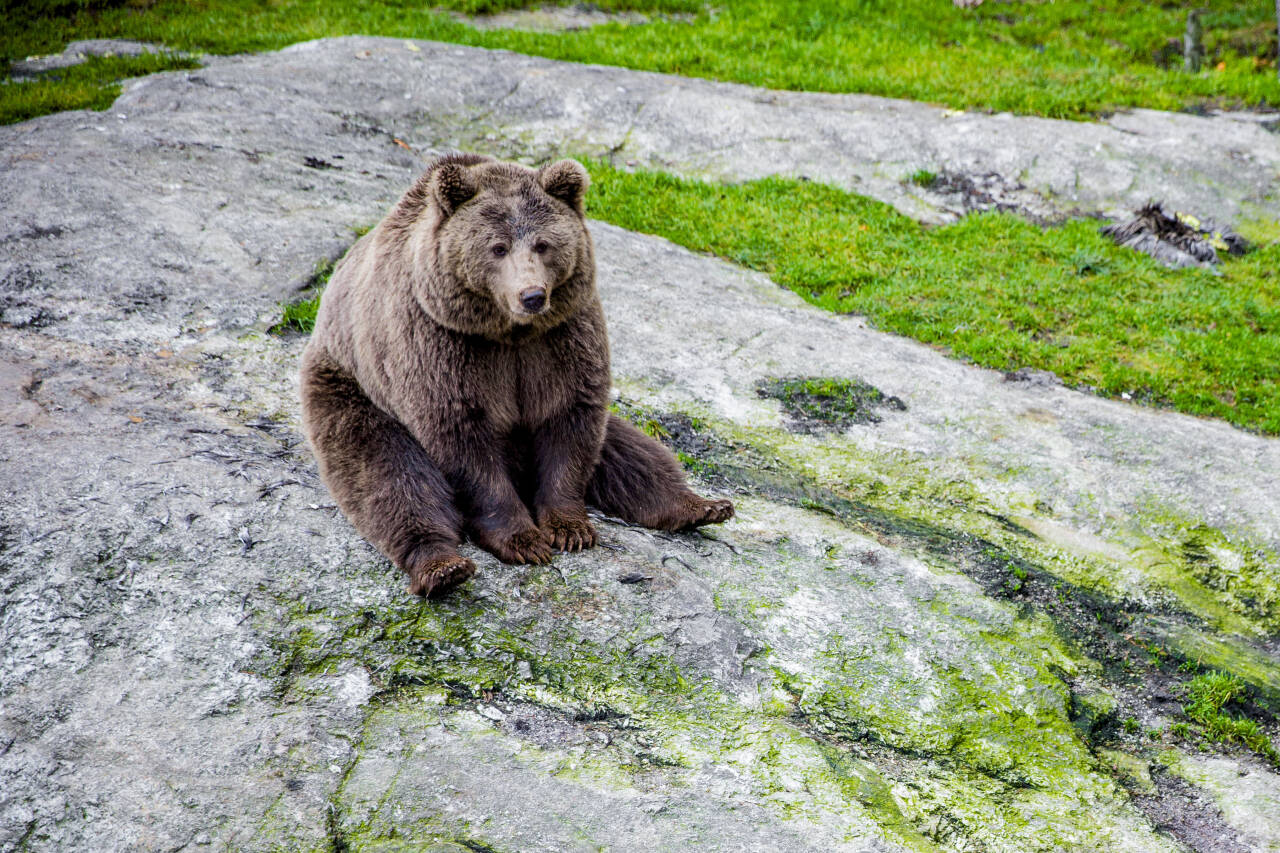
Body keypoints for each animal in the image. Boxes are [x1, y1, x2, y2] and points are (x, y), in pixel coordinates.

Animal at [299, 153, 737, 594]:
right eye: (497, 247)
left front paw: (569, 528)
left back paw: (701, 506)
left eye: (543, 244)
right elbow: (464, 443)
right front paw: (523, 540)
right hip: (351, 389)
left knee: (634, 453)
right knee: (390, 479)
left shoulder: (560, 339)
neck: (508, 333)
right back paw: (442, 566)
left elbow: (571, 424)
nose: (532, 295)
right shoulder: (443, 345)